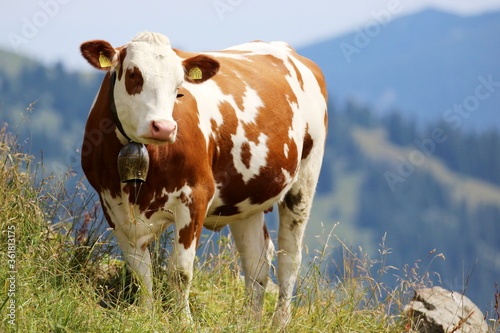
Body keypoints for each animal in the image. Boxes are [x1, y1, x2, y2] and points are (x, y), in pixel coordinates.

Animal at [80, 31, 328, 324]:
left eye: (179, 86)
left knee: (289, 258)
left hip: (305, 179)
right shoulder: (112, 204)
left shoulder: (195, 196)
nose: (164, 127)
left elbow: (180, 272)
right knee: (257, 258)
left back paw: (280, 322)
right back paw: (249, 320)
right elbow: (139, 270)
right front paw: (146, 315)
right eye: (132, 73)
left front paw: (184, 322)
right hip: (245, 195)